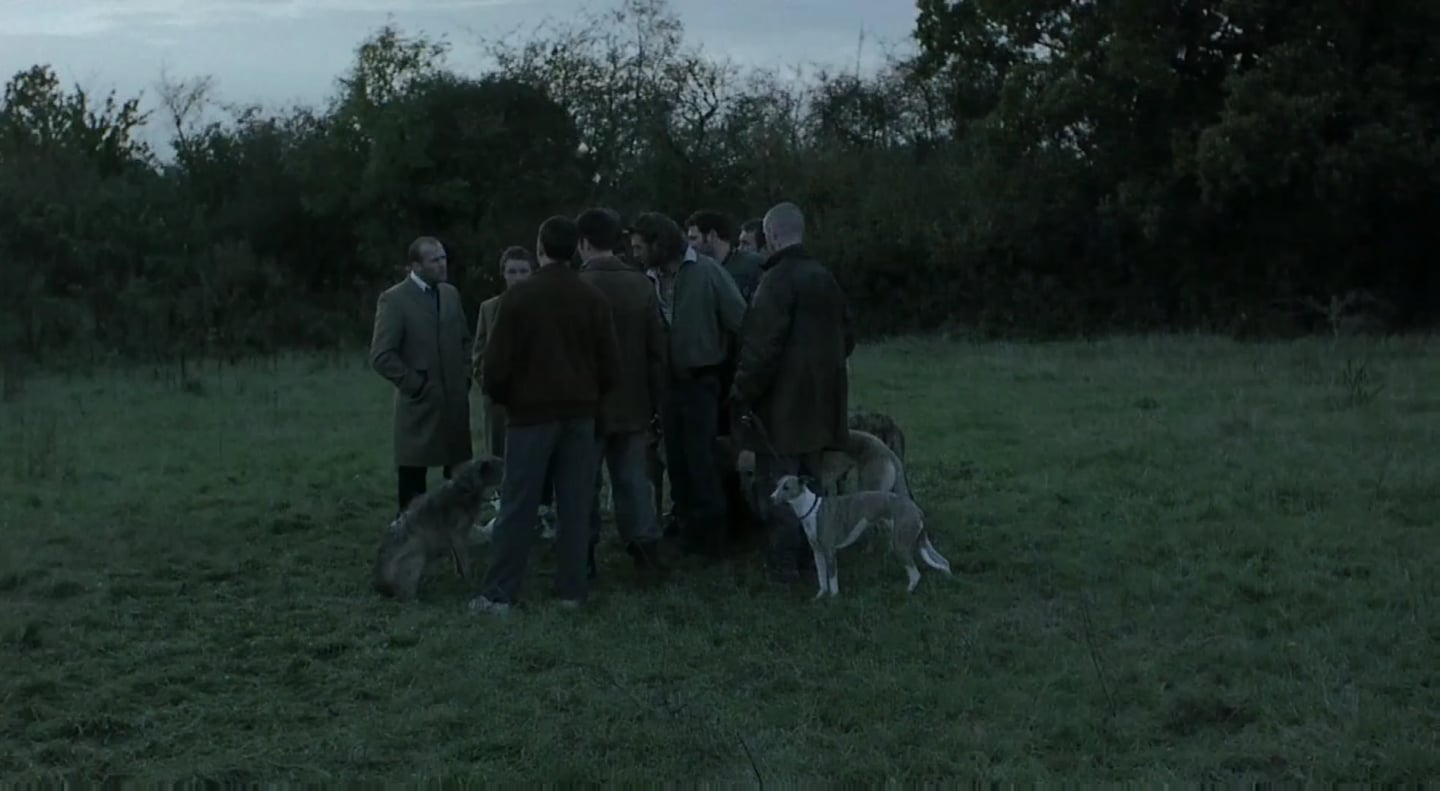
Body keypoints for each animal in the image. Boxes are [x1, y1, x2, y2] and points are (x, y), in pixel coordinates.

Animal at [373, 455, 505, 600]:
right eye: (501, 466)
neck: (465, 488)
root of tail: (379, 585)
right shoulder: (458, 534)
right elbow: (465, 561)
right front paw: (469, 582)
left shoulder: (458, 536)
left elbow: (459, 559)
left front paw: (460, 577)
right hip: (417, 555)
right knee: (405, 593)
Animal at [768, 474, 951, 598]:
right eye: (776, 485)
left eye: (786, 487)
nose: (770, 498)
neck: (810, 509)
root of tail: (916, 509)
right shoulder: (818, 553)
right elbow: (822, 579)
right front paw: (820, 597)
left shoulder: (829, 552)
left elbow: (832, 580)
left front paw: (834, 599)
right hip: (919, 543)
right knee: (944, 563)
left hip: (901, 545)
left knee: (915, 574)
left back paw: (908, 592)